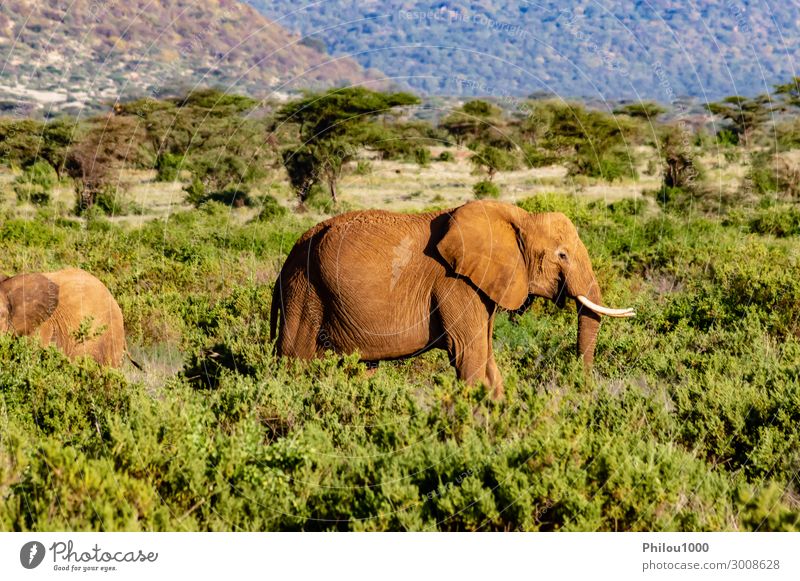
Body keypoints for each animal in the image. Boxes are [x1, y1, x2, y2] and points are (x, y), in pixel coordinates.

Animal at [272, 201, 636, 398]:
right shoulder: (455, 284)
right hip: (304, 289)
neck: (520, 217)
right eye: (562, 255)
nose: (580, 387)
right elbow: (468, 354)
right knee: (295, 361)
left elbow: (486, 357)